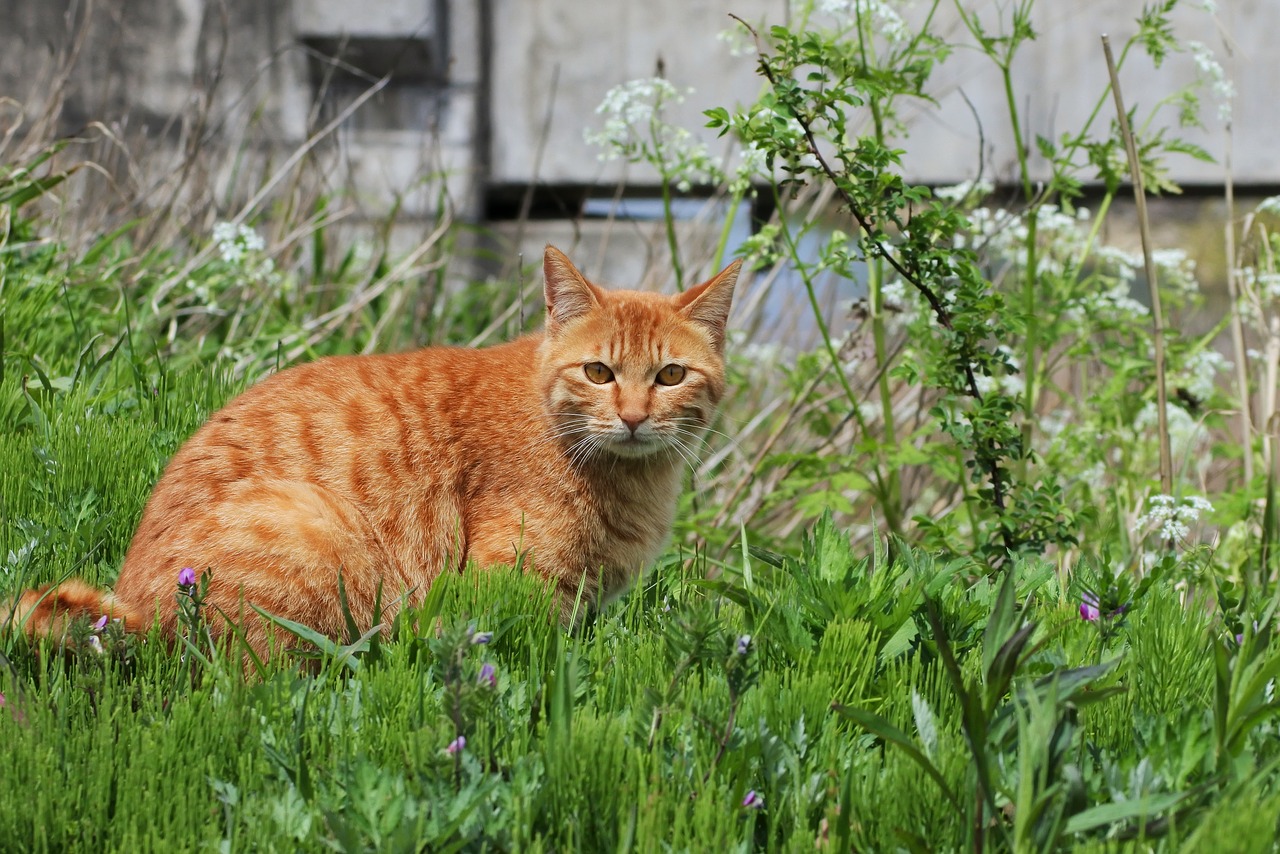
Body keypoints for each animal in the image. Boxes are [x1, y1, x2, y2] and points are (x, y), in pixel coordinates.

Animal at [12, 247, 742, 660]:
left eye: (670, 376)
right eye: (597, 372)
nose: (634, 417)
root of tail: (133, 611)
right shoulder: (507, 586)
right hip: (314, 527)